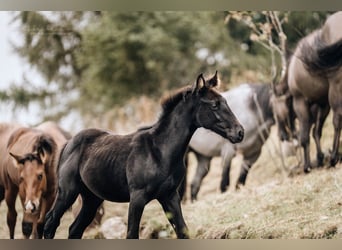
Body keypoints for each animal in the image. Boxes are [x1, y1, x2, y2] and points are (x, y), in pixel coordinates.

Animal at [43, 71, 246, 239]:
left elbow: (183, 232)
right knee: (50, 223)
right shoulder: (137, 198)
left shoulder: (170, 196)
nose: (240, 132)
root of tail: (69, 142)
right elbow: (132, 234)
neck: (160, 151)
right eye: (214, 105)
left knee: (74, 229)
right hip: (67, 191)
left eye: (225, 102)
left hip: (92, 198)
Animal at [272, 11, 342, 172]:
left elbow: (304, 136)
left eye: (272, 106)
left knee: (337, 119)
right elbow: (317, 132)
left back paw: (334, 157)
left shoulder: (300, 102)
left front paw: (307, 165)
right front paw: (320, 158)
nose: (280, 135)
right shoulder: (322, 105)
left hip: (336, 87)